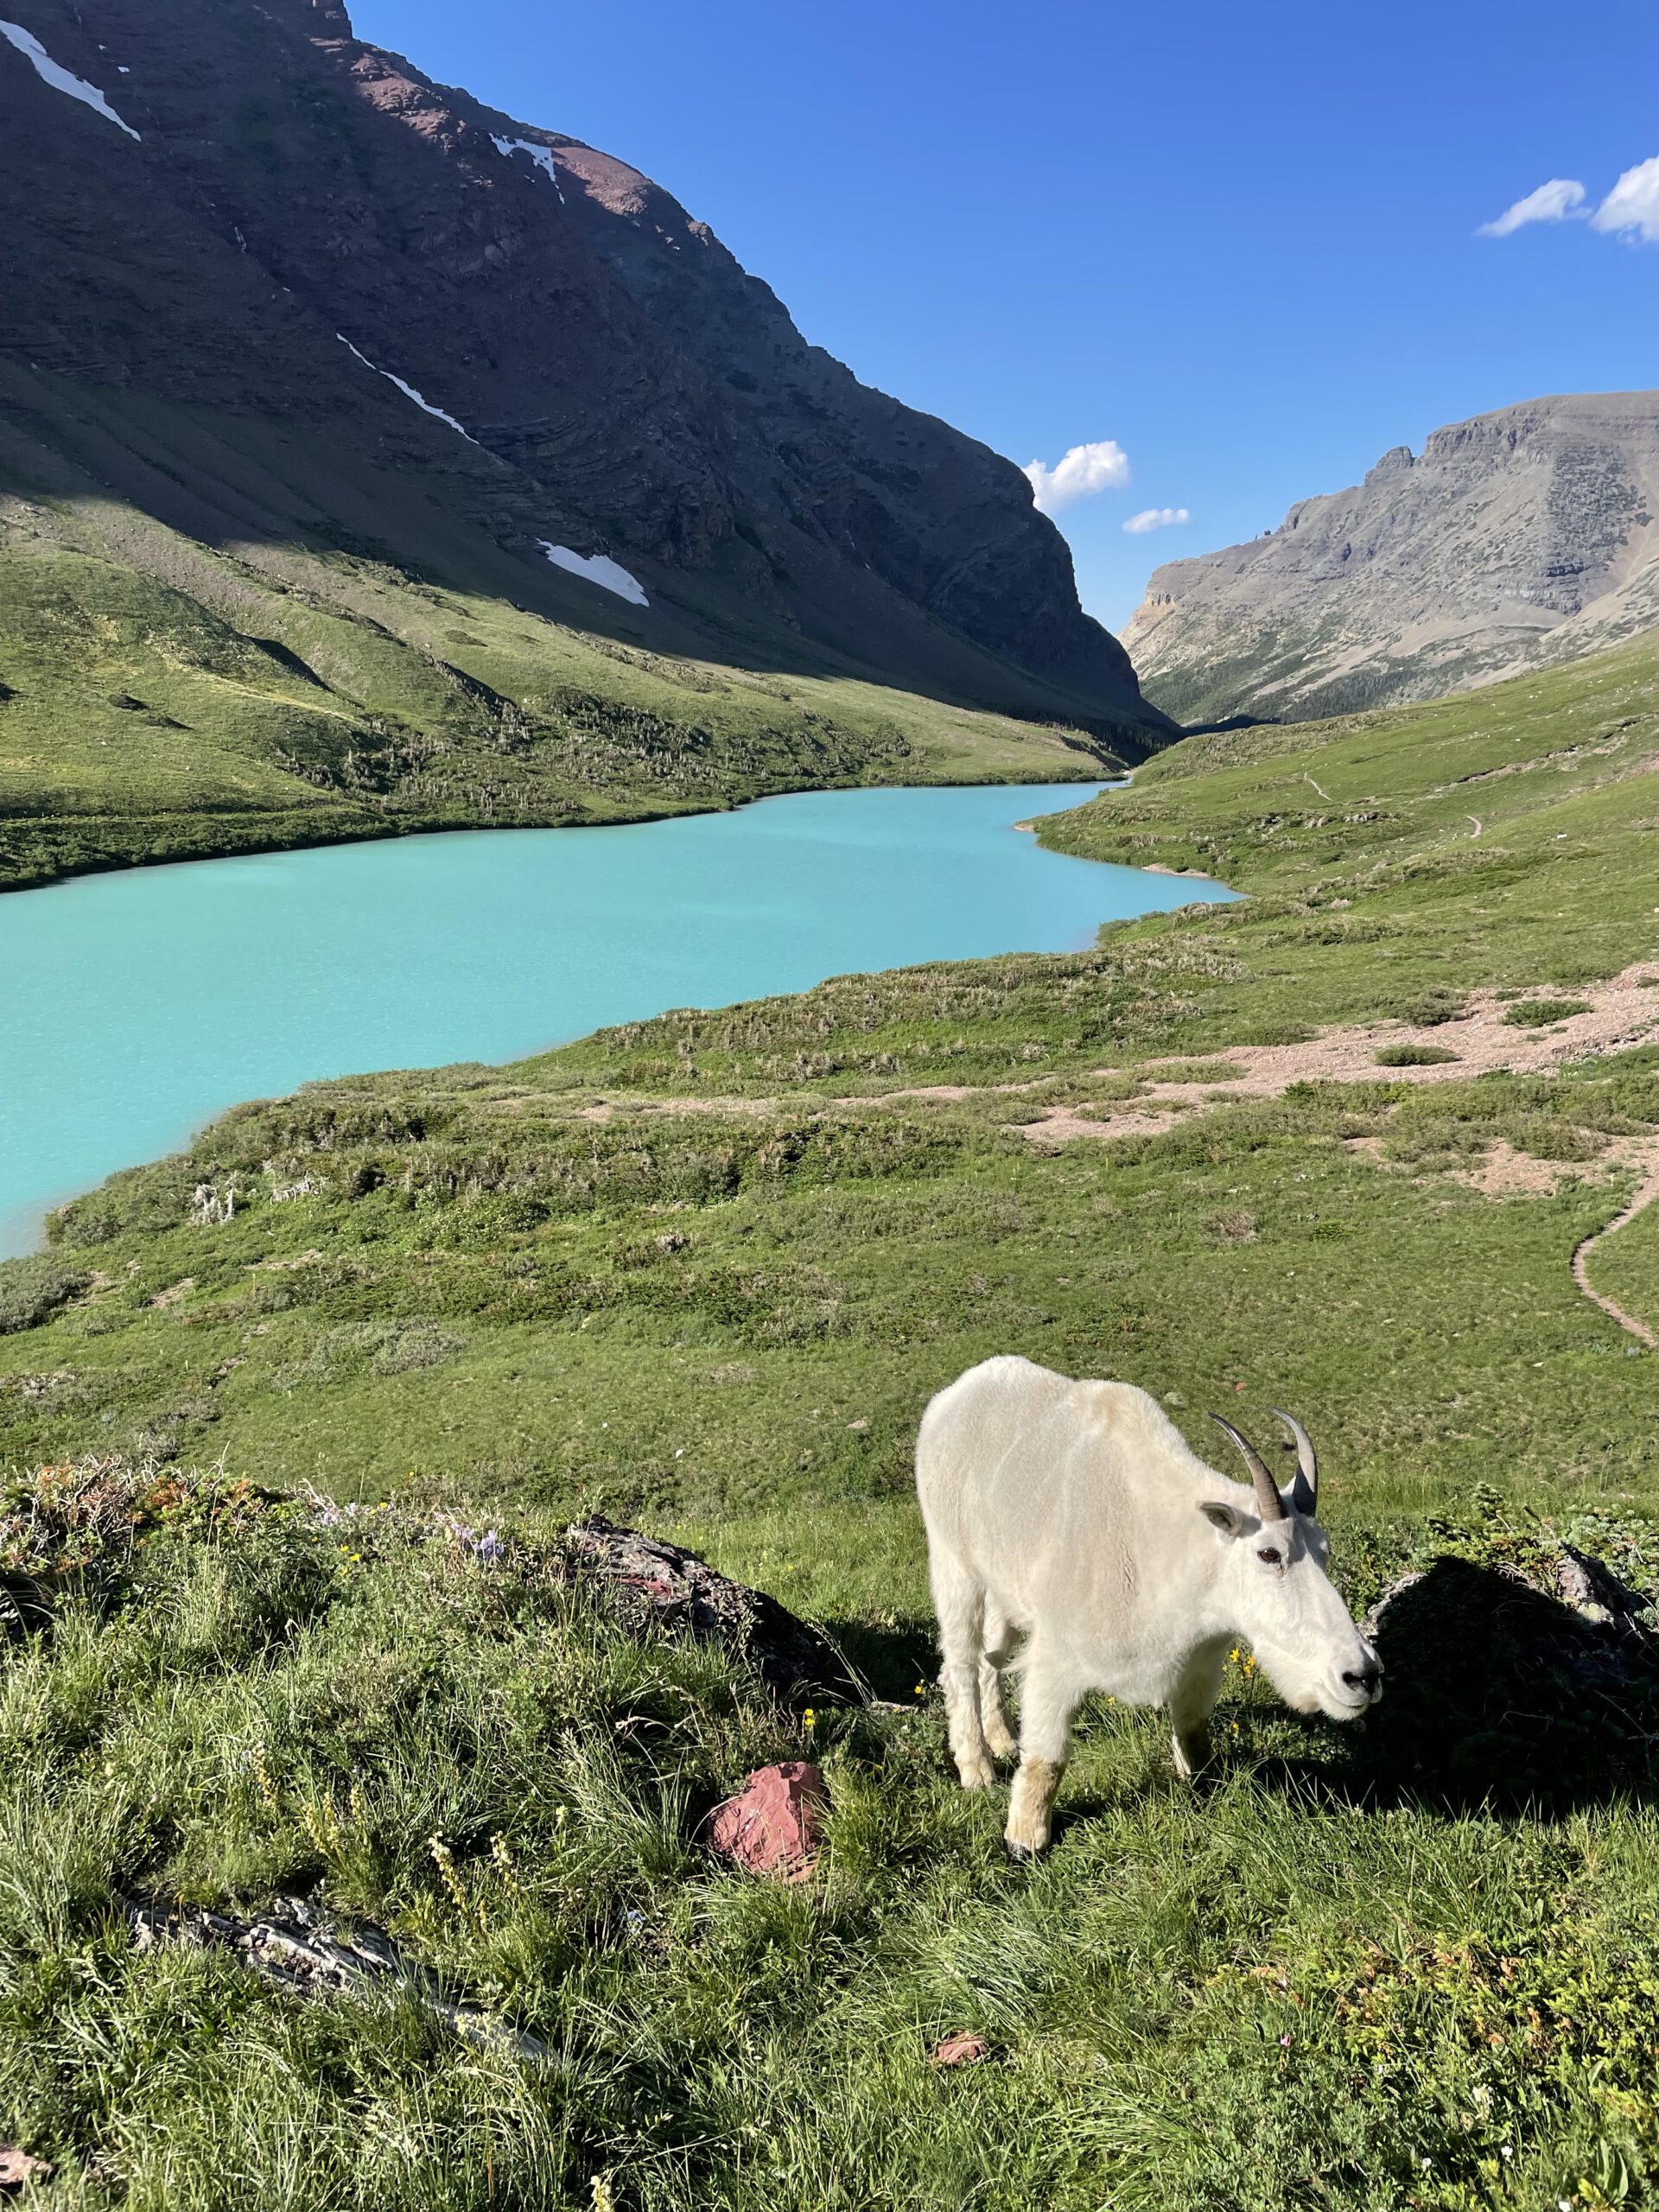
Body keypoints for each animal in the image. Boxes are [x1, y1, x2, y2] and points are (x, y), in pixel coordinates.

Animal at [915, 1353, 1380, 1858]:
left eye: (1324, 1550)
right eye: (1269, 1553)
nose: (1362, 1676)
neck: (1159, 1548)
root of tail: (952, 1397)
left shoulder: (1201, 1663)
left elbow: (1195, 1735)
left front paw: (1202, 1792)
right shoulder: (1055, 1662)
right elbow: (1047, 1759)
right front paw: (1025, 1842)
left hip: (1005, 1590)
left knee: (990, 1659)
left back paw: (1001, 1741)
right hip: (954, 1565)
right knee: (960, 1664)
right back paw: (977, 1768)